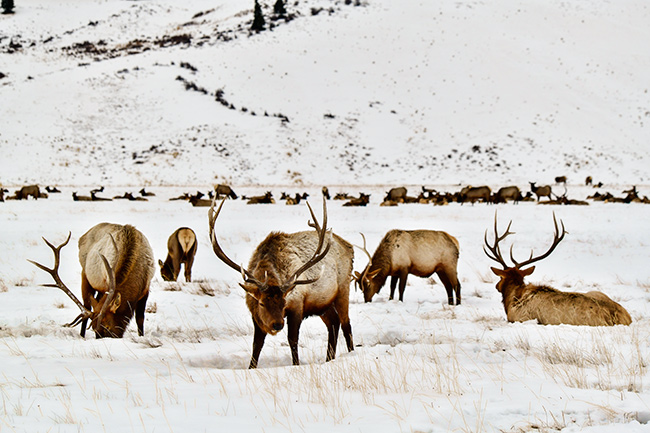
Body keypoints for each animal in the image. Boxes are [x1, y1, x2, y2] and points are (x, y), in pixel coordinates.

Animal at [209, 194, 354, 366]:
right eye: (261, 303)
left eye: (284, 302)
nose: (277, 324)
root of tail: (349, 246)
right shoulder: (255, 314)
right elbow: (257, 344)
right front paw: (251, 367)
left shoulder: (297, 305)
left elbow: (293, 340)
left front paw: (296, 364)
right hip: (322, 303)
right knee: (333, 323)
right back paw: (328, 359)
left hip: (343, 289)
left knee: (346, 324)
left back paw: (351, 353)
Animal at [484, 213, 632, 324]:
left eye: (500, 277)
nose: (496, 286)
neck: (512, 300)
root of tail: (625, 317)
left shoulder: (519, 318)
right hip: (596, 292)